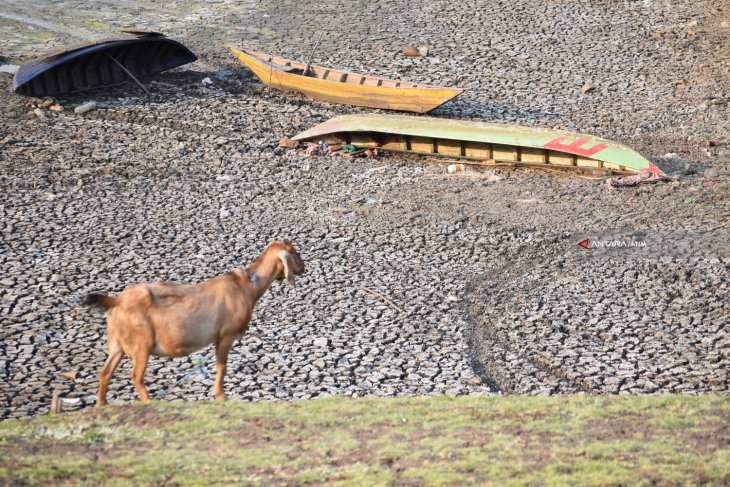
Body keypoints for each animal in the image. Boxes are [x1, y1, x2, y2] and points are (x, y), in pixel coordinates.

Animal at [84, 241, 302, 408]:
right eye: (294, 252)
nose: (304, 266)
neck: (247, 285)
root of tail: (117, 301)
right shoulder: (226, 335)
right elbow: (222, 366)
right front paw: (221, 396)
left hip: (117, 343)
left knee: (105, 372)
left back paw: (100, 405)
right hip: (141, 343)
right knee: (136, 376)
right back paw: (149, 402)